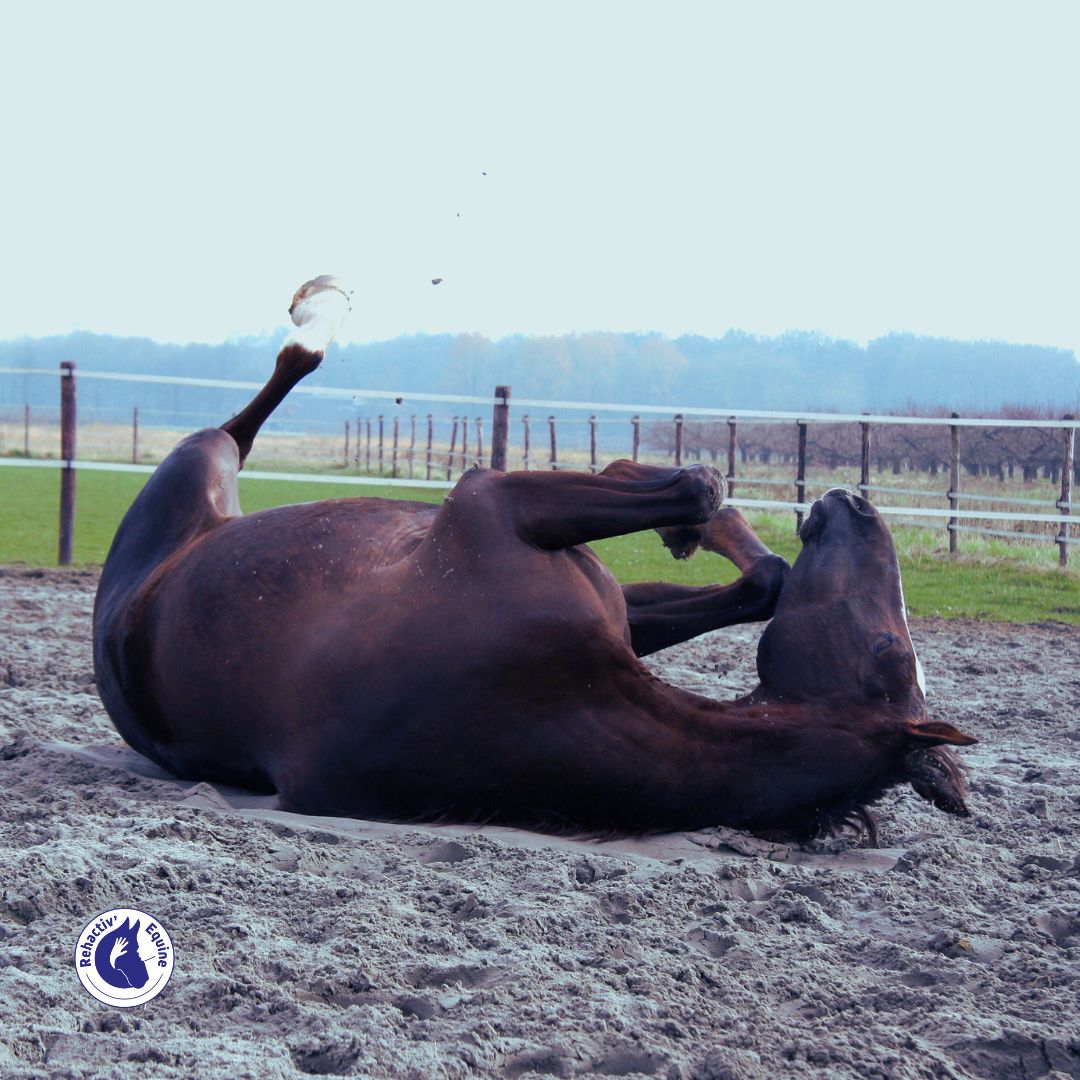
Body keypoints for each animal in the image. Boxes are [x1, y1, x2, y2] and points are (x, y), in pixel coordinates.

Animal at [92, 274, 976, 838]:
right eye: (895, 653)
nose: (855, 504)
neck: (556, 699)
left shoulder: (491, 510)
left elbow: (710, 501)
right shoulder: (543, 546)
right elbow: (739, 539)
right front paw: (677, 504)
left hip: (192, 471)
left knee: (256, 403)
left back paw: (319, 316)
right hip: (202, 469)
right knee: (254, 409)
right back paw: (319, 312)